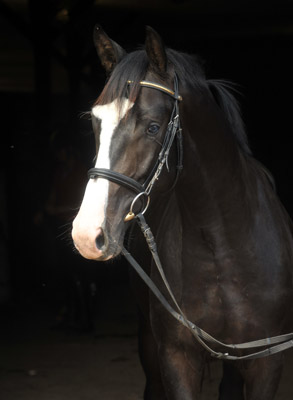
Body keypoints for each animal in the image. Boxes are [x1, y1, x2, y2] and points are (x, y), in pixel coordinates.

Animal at [71, 26, 292, 398]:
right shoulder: (177, 357)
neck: (222, 245)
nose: (87, 235)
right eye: (95, 122)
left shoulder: (267, 361)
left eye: (152, 127)